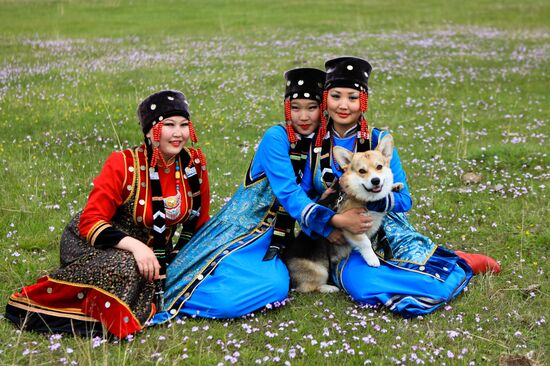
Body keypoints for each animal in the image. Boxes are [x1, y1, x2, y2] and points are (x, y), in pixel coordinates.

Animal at [284, 136, 402, 294]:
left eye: (379, 167)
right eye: (362, 171)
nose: (375, 181)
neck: (367, 198)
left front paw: (395, 186)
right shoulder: (352, 228)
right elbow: (365, 242)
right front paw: (373, 259)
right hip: (320, 271)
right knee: (309, 287)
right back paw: (329, 288)